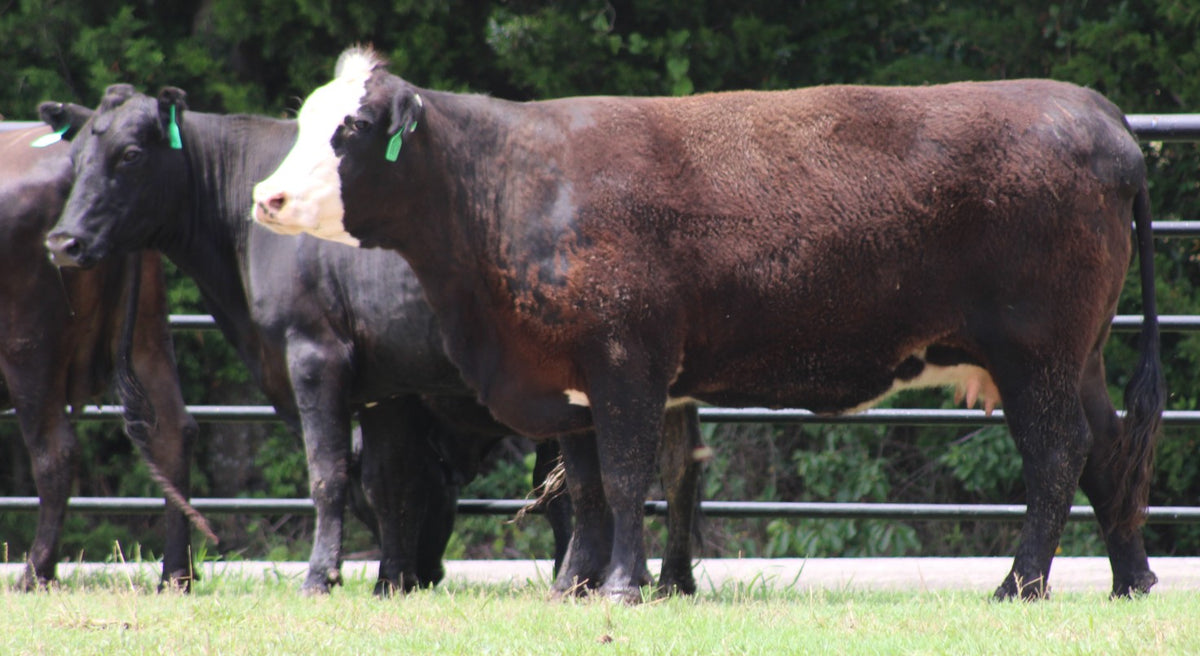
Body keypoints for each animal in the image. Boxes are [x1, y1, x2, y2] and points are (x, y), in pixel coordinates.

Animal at [0, 122, 198, 590]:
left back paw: (35, 573)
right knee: (173, 433)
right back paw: (174, 575)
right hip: (147, 333)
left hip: (27, 349)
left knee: (56, 453)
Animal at [41, 86, 705, 596]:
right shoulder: (388, 382)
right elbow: (386, 482)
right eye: (77, 158)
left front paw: (321, 577)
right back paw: (669, 580)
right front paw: (390, 579)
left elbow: (329, 473)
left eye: (130, 154)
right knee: (677, 471)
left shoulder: (315, 352)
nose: (63, 241)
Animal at [250, 47, 1165, 602]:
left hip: (1036, 352)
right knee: (1110, 448)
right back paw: (1132, 579)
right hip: (1080, 356)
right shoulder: (571, 379)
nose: (268, 196)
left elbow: (626, 479)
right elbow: (588, 489)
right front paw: (575, 588)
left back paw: (1020, 584)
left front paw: (622, 587)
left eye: (351, 130)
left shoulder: (626, 361)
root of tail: (1098, 114)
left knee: (1057, 454)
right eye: (304, 120)